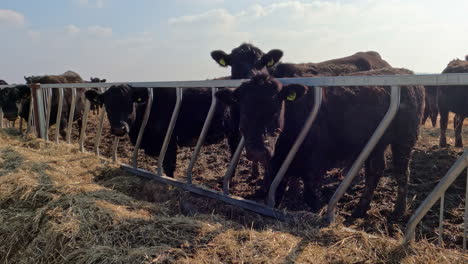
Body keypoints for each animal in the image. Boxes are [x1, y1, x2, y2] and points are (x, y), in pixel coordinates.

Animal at [216, 68, 424, 219]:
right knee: (375, 171)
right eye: (244, 109)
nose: (259, 150)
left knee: (401, 173)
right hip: (376, 145)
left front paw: (315, 211)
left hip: (404, 139)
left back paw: (398, 212)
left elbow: (310, 195)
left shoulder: (315, 163)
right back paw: (359, 210)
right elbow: (275, 189)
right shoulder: (278, 165)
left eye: (276, 108)